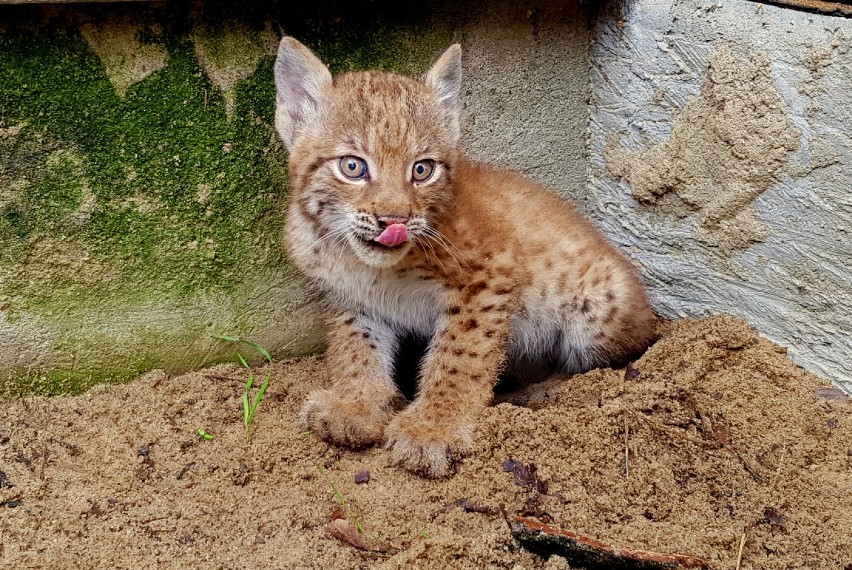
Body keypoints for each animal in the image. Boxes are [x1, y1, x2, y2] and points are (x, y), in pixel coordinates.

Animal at [276, 36, 656, 474]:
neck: (361, 262)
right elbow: (356, 350)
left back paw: (539, 392)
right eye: (353, 167)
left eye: (421, 170)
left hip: (599, 305)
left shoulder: (489, 275)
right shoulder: (352, 298)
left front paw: (432, 429)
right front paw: (355, 405)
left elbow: (458, 356)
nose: (395, 220)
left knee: (604, 361)